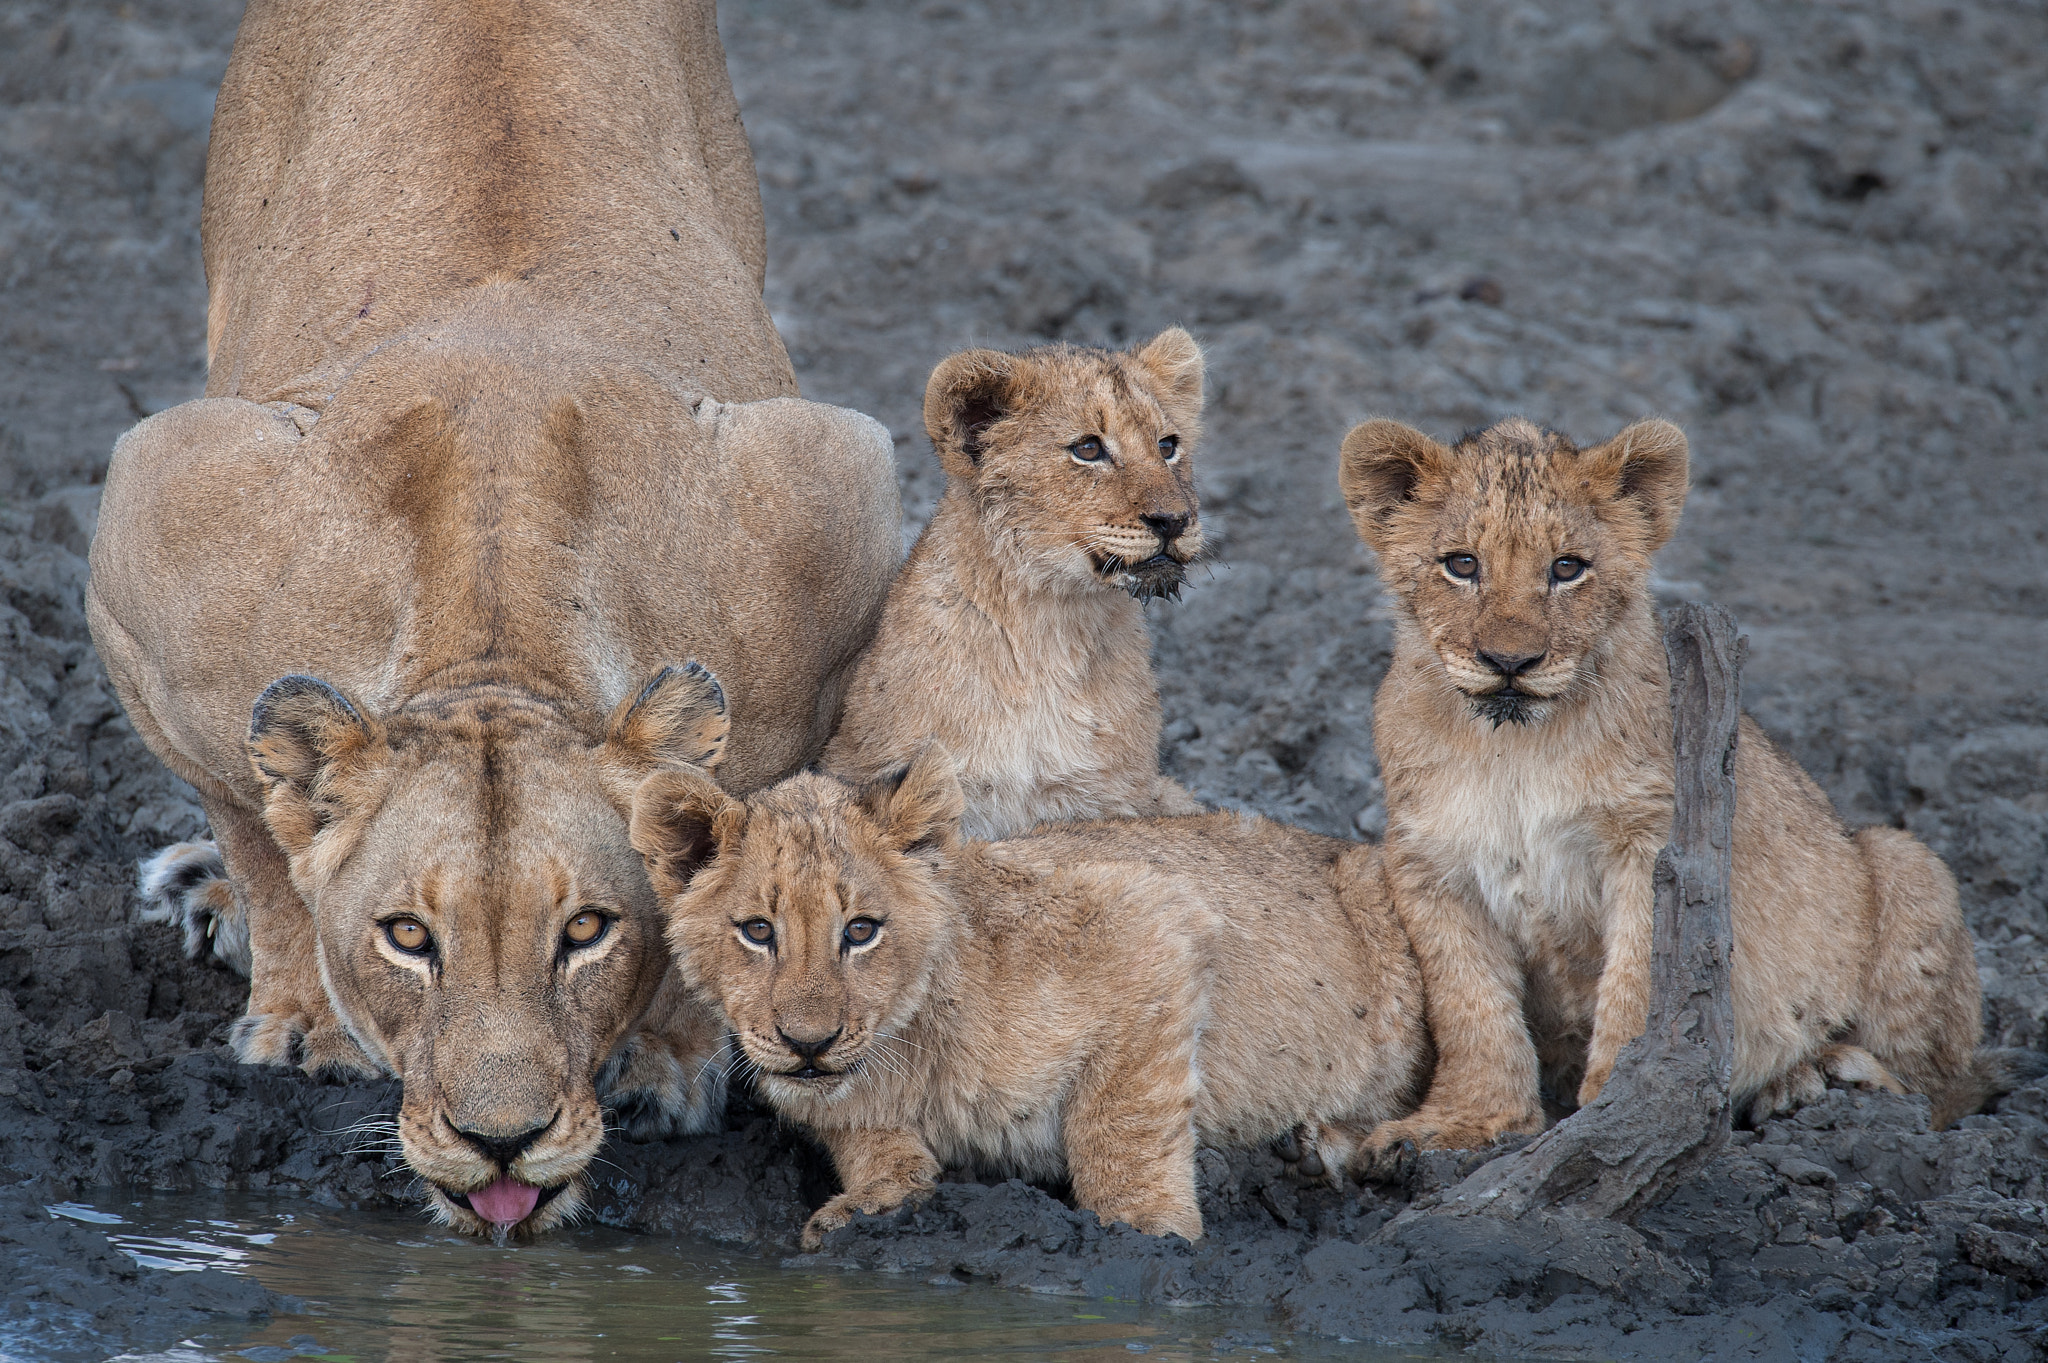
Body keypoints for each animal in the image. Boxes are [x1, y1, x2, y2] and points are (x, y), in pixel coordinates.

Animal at [85, 0, 901, 1237]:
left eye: (586, 931)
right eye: (408, 937)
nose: (500, 1141)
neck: (496, 636)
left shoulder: (834, 500)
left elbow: (734, 852)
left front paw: (670, 1060)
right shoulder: (150, 520)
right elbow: (257, 822)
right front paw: (303, 1016)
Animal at [629, 739, 1430, 1248]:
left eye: (860, 930)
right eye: (757, 931)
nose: (808, 1042)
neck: (908, 1043)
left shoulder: (1153, 916)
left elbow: (1119, 1123)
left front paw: (1146, 1233)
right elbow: (872, 1143)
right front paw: (867, 1202)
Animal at [1335, 414, 2042, 1152]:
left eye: (1567, 568)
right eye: (1462, 564)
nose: (1509, 661)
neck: (1516, 747)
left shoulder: (1656, 842)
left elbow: (1641, 979)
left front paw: (1622, 1103)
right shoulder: (1429, 864)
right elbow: (1467, 1002)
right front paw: (1462, 1123)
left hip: (1908, 862)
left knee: (1941, 1090)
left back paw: (1817, 1079)